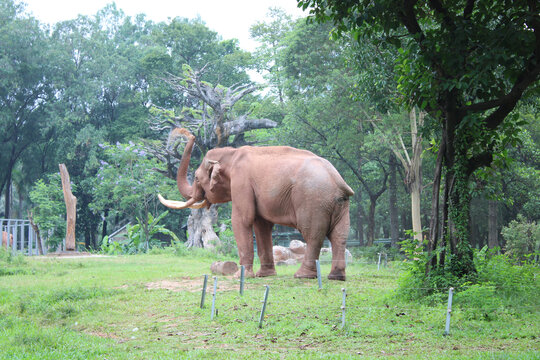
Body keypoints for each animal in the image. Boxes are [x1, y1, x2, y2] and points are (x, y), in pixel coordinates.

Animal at [157, 128, 354, 280]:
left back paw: (302, 275)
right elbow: (262, 226)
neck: (232, 153)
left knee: (312, 234)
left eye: (197, 178)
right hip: (341, 204)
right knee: (339, 235)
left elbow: (242, 219)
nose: (187, 134)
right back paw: (336, 277)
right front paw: (264, 275)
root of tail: (337, 180)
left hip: (312, 200)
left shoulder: (241, 182)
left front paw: (239, 276)